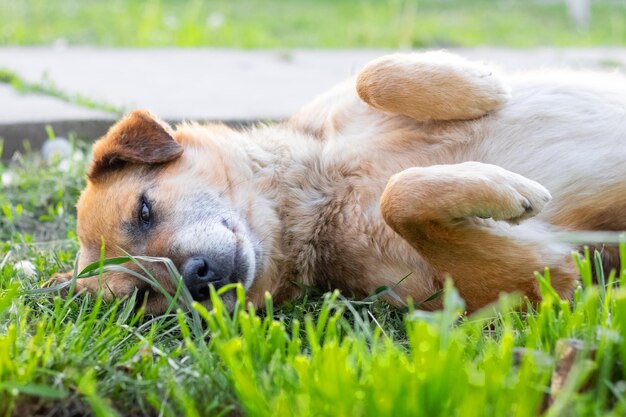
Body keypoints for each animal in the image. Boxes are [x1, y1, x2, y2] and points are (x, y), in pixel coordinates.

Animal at [52, 51, 624, 312]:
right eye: (142, 297)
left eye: (144, 210)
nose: (197, 278)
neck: (320, 193)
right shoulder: (542, 278)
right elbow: (401, 198)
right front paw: (503, 189)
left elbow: (370, 74)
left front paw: (479, 86)